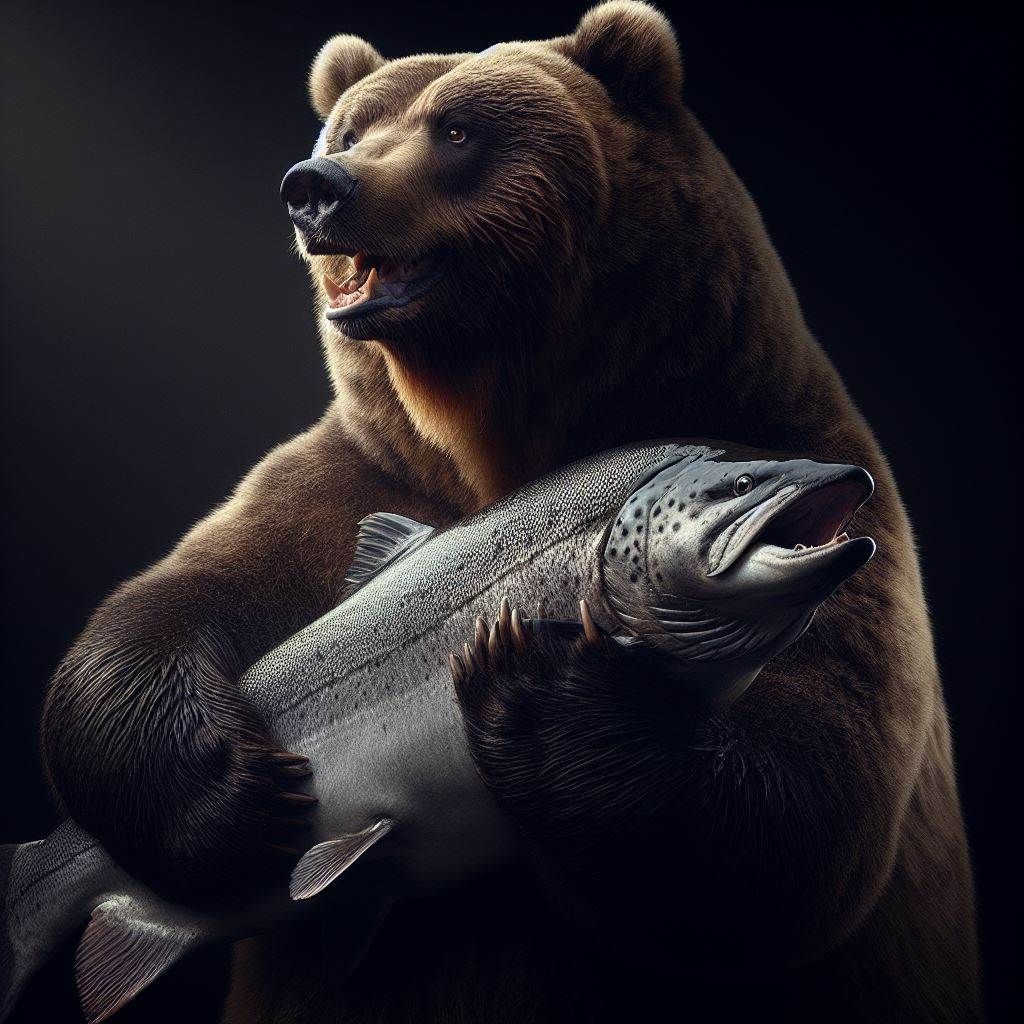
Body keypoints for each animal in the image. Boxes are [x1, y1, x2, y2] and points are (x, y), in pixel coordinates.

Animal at [41, 3, 980, 1022]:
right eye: (349, 130)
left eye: (458, 130)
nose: (315, 187)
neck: (492, 433)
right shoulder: (343, 478)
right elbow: (165, 613)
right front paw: (236, 793)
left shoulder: (823, 474)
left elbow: (811, 821)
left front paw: (536, 686)